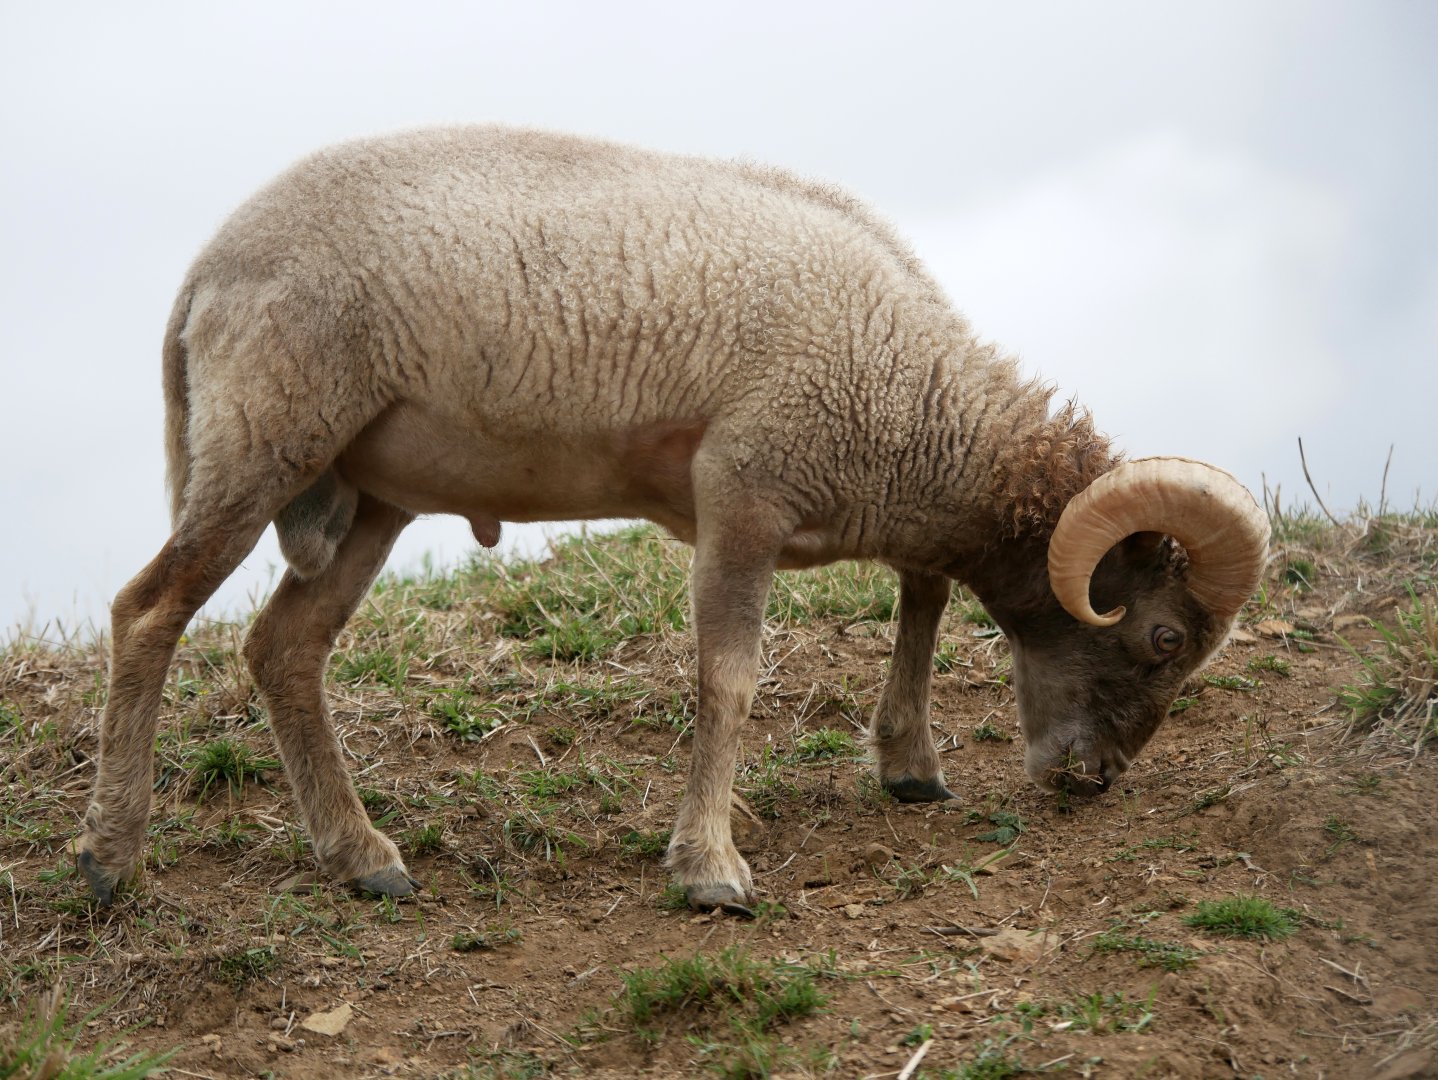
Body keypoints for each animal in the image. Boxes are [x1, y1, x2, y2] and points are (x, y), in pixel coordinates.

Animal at [77, 126, 1269, 914]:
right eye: (1162, 636)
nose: (1093, 782)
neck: (914, 400)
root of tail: (205, 271)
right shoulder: (741, 489)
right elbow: (730, 677)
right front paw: (710, 870)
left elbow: (923, 594)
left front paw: (909, 763)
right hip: (267, 439)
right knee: (147, 612)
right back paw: (110, 860)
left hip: (369, 491)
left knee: (284, 649)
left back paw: (361, 855)